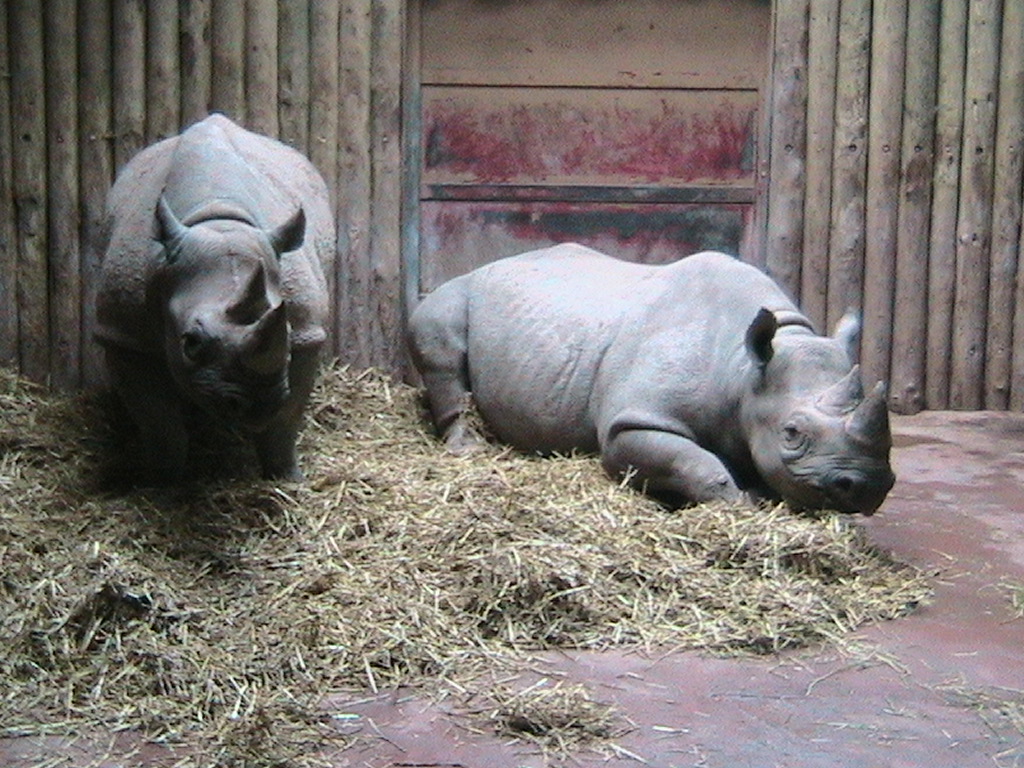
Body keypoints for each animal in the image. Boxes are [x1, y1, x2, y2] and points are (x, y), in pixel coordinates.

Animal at [95, 114, 333, 482]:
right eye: (190, 342)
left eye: (288, 332)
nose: (257, 406)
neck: (218, 219)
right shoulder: (125, 335)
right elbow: (159, 423)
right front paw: (163, 480)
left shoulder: (307, 333)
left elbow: (286, 419)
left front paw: (285, 477)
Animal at [408, 243, 895, 514]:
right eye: (792, 433)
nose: (867, 486)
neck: (742, 371)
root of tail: (486, 263)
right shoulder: (632, 421)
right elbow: (693, 461)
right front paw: (741, 504)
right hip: (455, 293)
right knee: (441, 342)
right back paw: (469, 448)